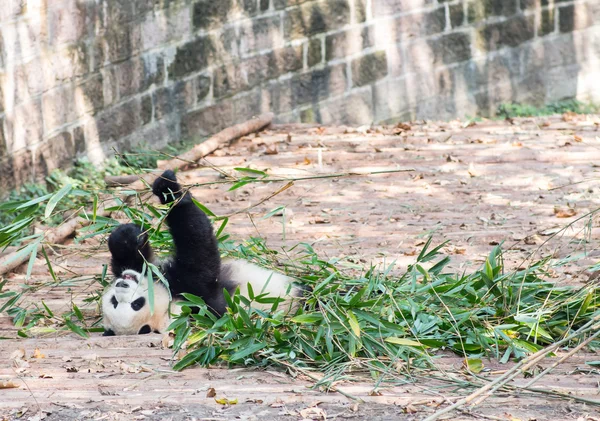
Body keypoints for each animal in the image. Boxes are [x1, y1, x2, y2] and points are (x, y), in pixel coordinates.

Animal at [101, 169, 304, 336]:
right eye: (136, 304)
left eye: (114, 301)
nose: (122, 284)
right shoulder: (196, 294)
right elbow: (199, 248)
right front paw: (171, 191)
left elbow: (134, 260)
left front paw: (127, 235)